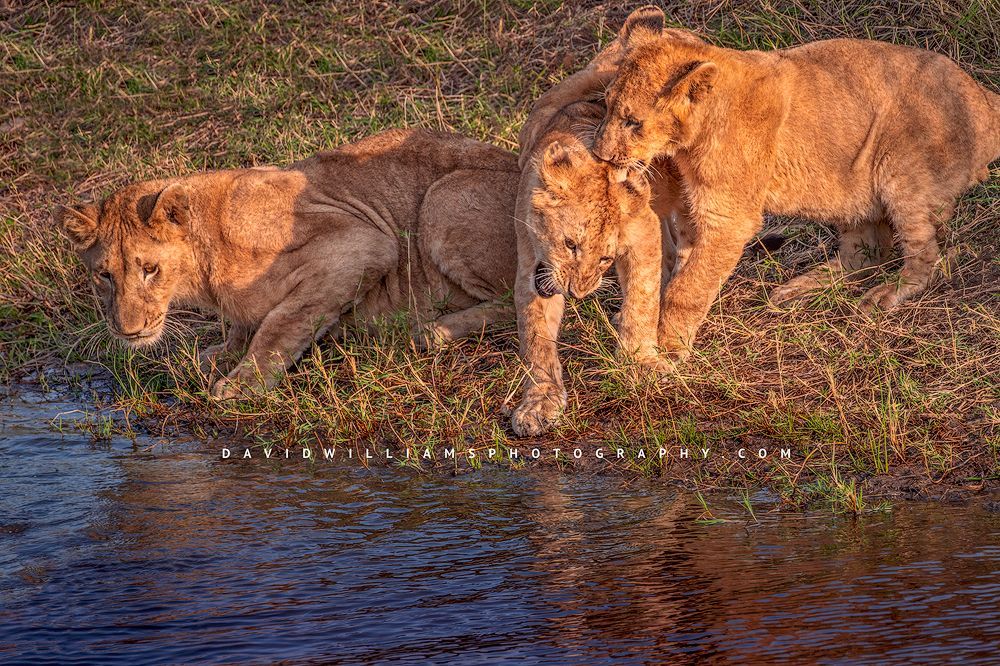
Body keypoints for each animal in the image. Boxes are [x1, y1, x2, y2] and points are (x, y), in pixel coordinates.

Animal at [57, 129, 520, 399]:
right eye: (104, 276)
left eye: (150, 268)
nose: (127, 330)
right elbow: (245, 328)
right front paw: (221, 354)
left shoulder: (364, 242)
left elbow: (282, 322)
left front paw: (242, 384)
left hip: (444, 197)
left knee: (517, 301)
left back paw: (434, 331)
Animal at [593, 6, 1000, 356]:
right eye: (607, 103)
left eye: (633, 122)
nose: (599, 153)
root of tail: (984, 95)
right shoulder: (698, 208)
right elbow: (681, 266)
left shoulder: (730, 218)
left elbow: (689, 287)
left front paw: (669, 347)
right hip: (847, 186)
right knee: (866, 255)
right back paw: (800, 289)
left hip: (900, 168)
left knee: (927, 258)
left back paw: (888, 292)